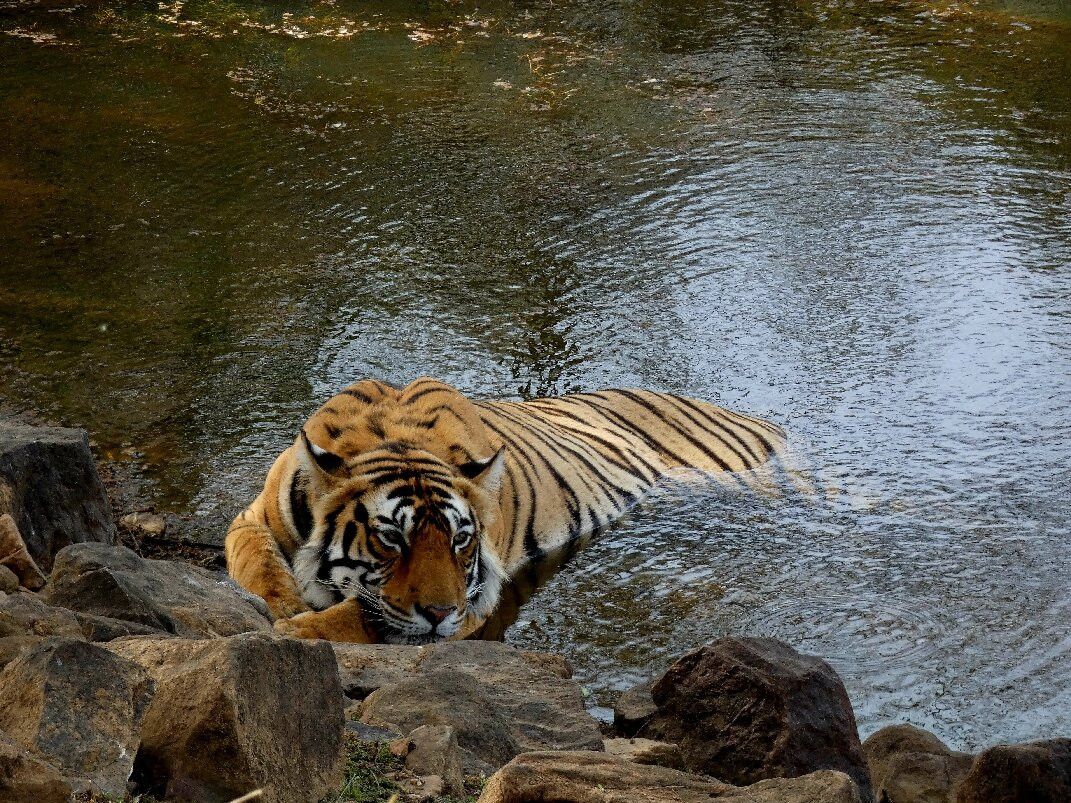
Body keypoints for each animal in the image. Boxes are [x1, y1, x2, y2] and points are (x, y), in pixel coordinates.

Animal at [224, 377, 785, 644]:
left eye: (460, 540)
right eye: (392, 539)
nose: (439, 613)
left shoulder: (474, 605)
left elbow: (364, 616)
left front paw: (294, 630)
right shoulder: (251, 519)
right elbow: (258, 561)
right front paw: (283, 607)